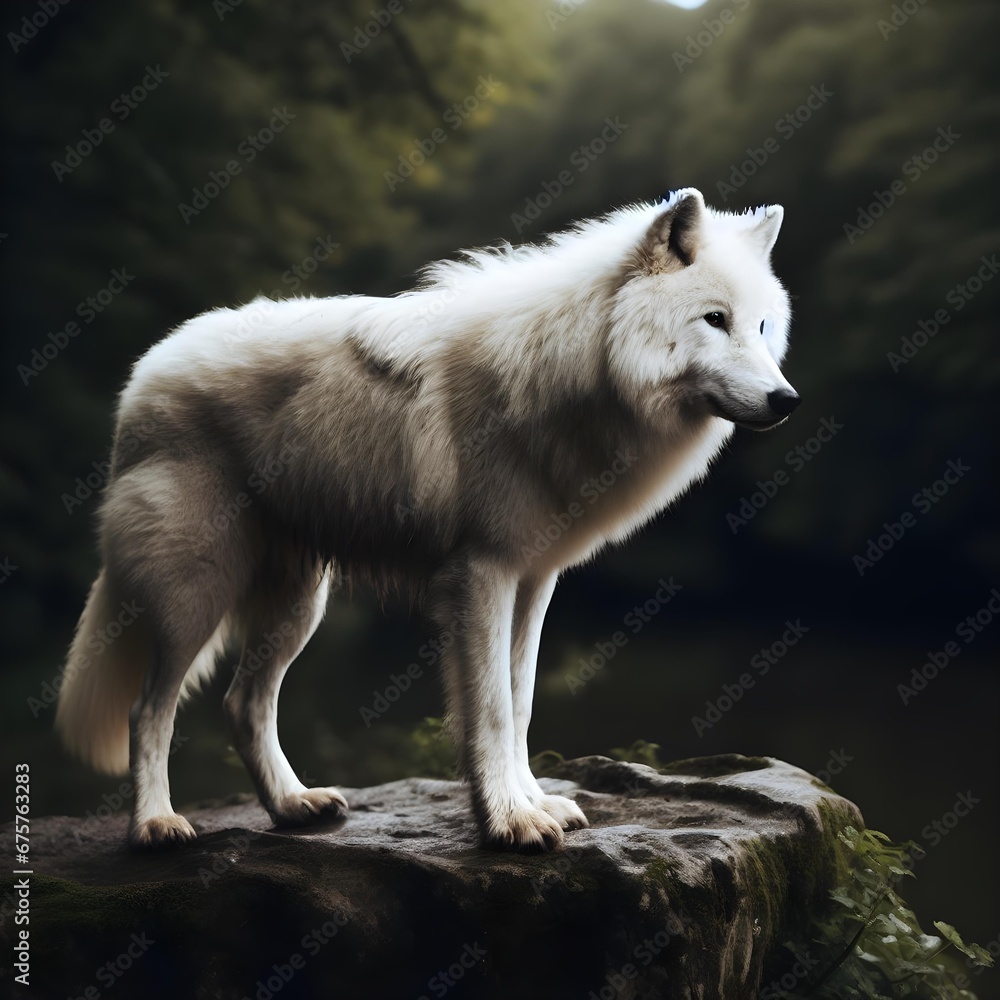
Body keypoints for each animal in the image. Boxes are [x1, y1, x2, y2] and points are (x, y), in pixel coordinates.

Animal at [56, 188, 798, 852]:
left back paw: (293, 806)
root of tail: (144, 376)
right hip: (196, 595)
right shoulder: (482, 575)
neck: (578, 364)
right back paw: (155, 825)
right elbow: (491, 710)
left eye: (762, 327)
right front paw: (510, 823)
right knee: (149, 711)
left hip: (299, 604)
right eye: (714, 319)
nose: (786, 400)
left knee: (243, 706)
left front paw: (534, 803)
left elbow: (521, 703)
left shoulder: (534, 579)